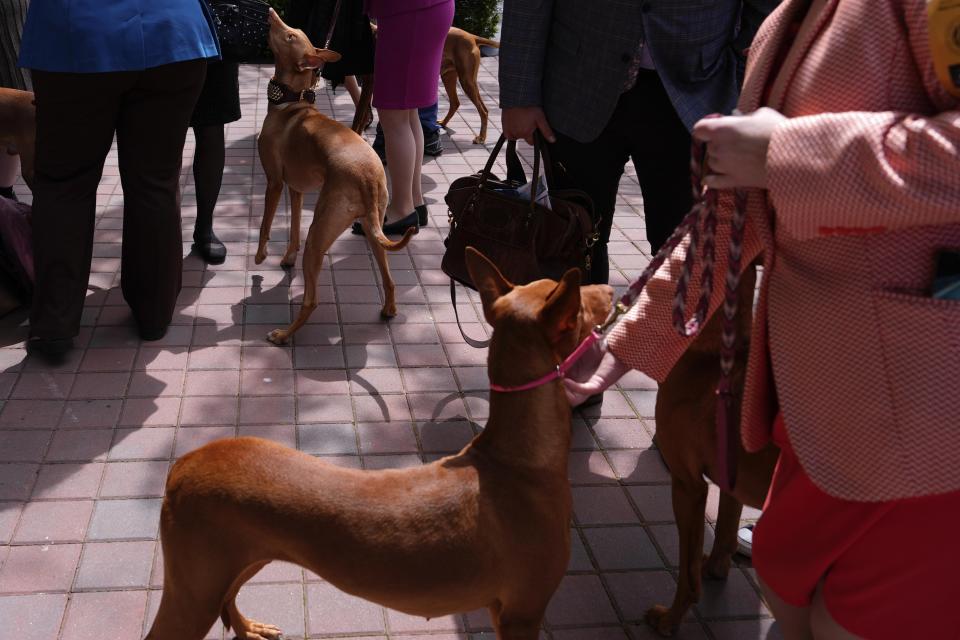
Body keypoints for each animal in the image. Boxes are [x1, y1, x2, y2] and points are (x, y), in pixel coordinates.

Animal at [146, 246, 612, 640]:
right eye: (581, 303)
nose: (610, 289)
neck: (515, 460)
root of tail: (184, 463)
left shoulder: (505, 611)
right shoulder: (521, 612)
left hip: (239, 562)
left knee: (230, 598)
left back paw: (247, 628)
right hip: (193, 593)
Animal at [644, 264, 780, 636]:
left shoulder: (688, 486)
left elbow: (686, 573)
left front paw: (669, 620)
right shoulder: (731, 481)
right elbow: (725, 532)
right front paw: (716, 568)